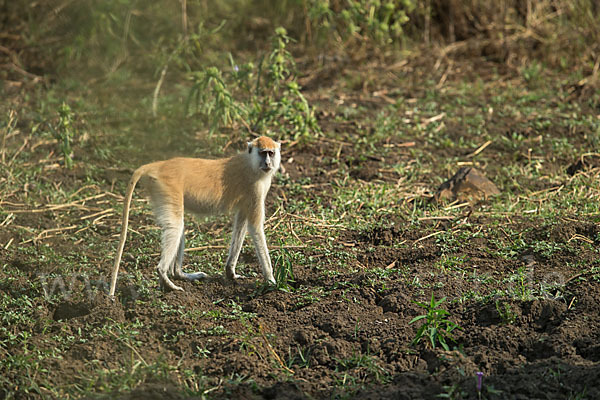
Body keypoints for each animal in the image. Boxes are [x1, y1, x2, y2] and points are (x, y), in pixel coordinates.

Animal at [109, 136, 282, 296]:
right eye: (263, 153)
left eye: (271, 153)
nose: (268, 163)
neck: (251, 163)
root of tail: (159, 165)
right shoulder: (255, 188)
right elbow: (255, 228)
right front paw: (271, 281)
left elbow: (242, 221)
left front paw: (230, 272)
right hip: (167, 187)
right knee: (175, 226)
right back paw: (165, 277)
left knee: (179, 226)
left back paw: (179, 274)